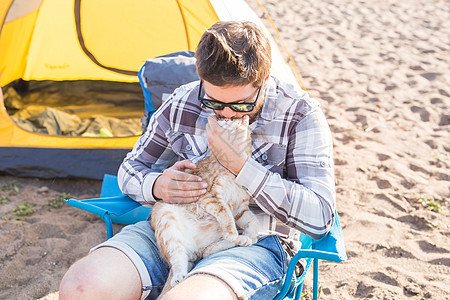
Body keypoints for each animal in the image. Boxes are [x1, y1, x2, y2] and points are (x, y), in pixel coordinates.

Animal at [150, 117, 258, 290]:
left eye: (235, 118)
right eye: (220, 117)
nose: (226, 119)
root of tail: (195, 250)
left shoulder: (240, 208)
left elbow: (253, 221)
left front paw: (250, 235)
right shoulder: (209, 196)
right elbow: (224, 213)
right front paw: (232, 232)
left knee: (206, 252)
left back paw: (242, 240)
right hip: (166, 218)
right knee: (177, 258)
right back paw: (178, 276)